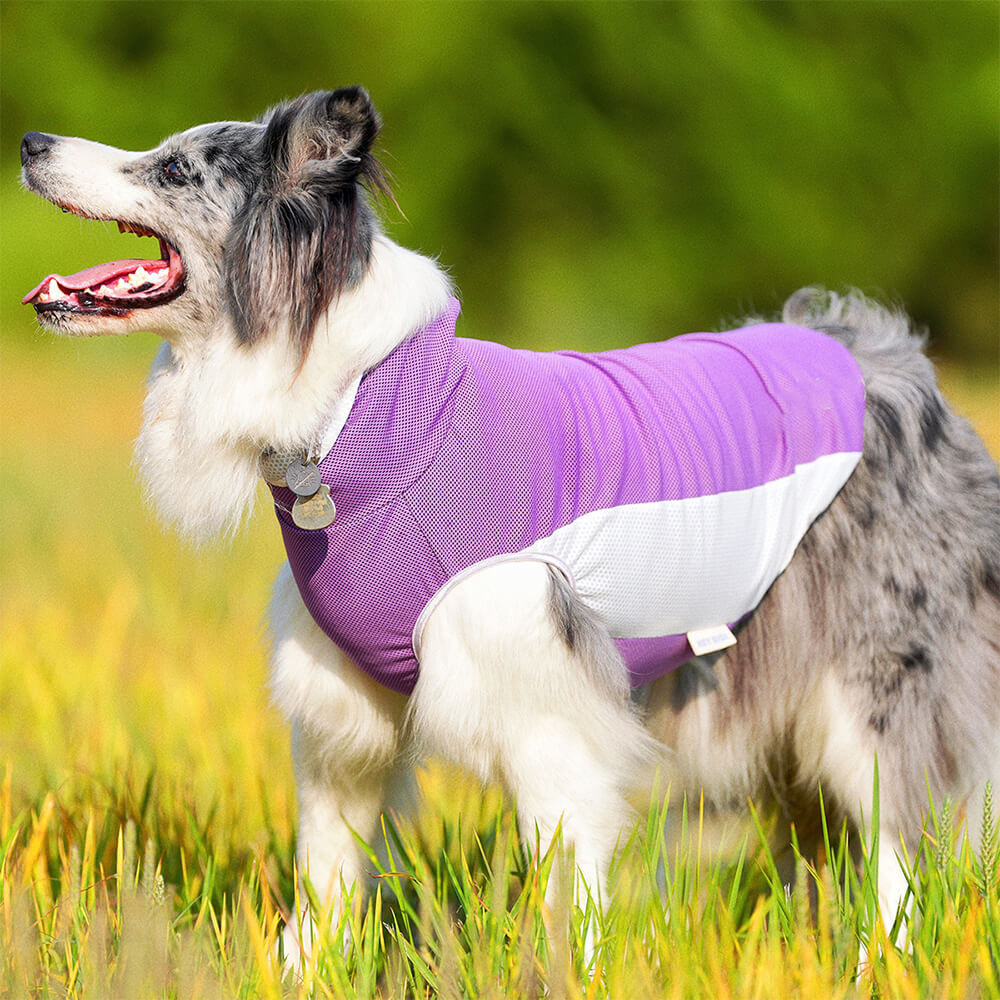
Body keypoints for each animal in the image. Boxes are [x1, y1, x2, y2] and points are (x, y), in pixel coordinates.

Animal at [21, 88, 1000, 960]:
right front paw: (303, 973)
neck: (365, 416)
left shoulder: (550, 717)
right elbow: (325, 883)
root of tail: (884, 358)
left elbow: (571, 900)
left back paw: (886, 962)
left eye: (172, 168)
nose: (29, 140)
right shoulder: (339, 719)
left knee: (899, 846)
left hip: (871, 692)